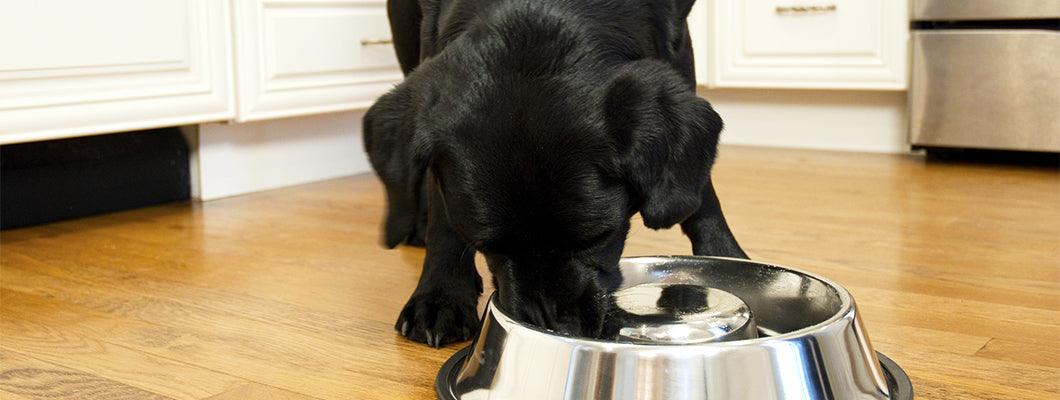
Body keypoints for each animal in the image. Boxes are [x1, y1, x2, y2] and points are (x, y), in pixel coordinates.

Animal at [364, 0, 746, 345]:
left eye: (599, 238)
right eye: (487, 246)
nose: (554, 328)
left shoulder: (677, 40)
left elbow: (698, 185)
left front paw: (724, 254)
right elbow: (442, 208)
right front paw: (441, 296)